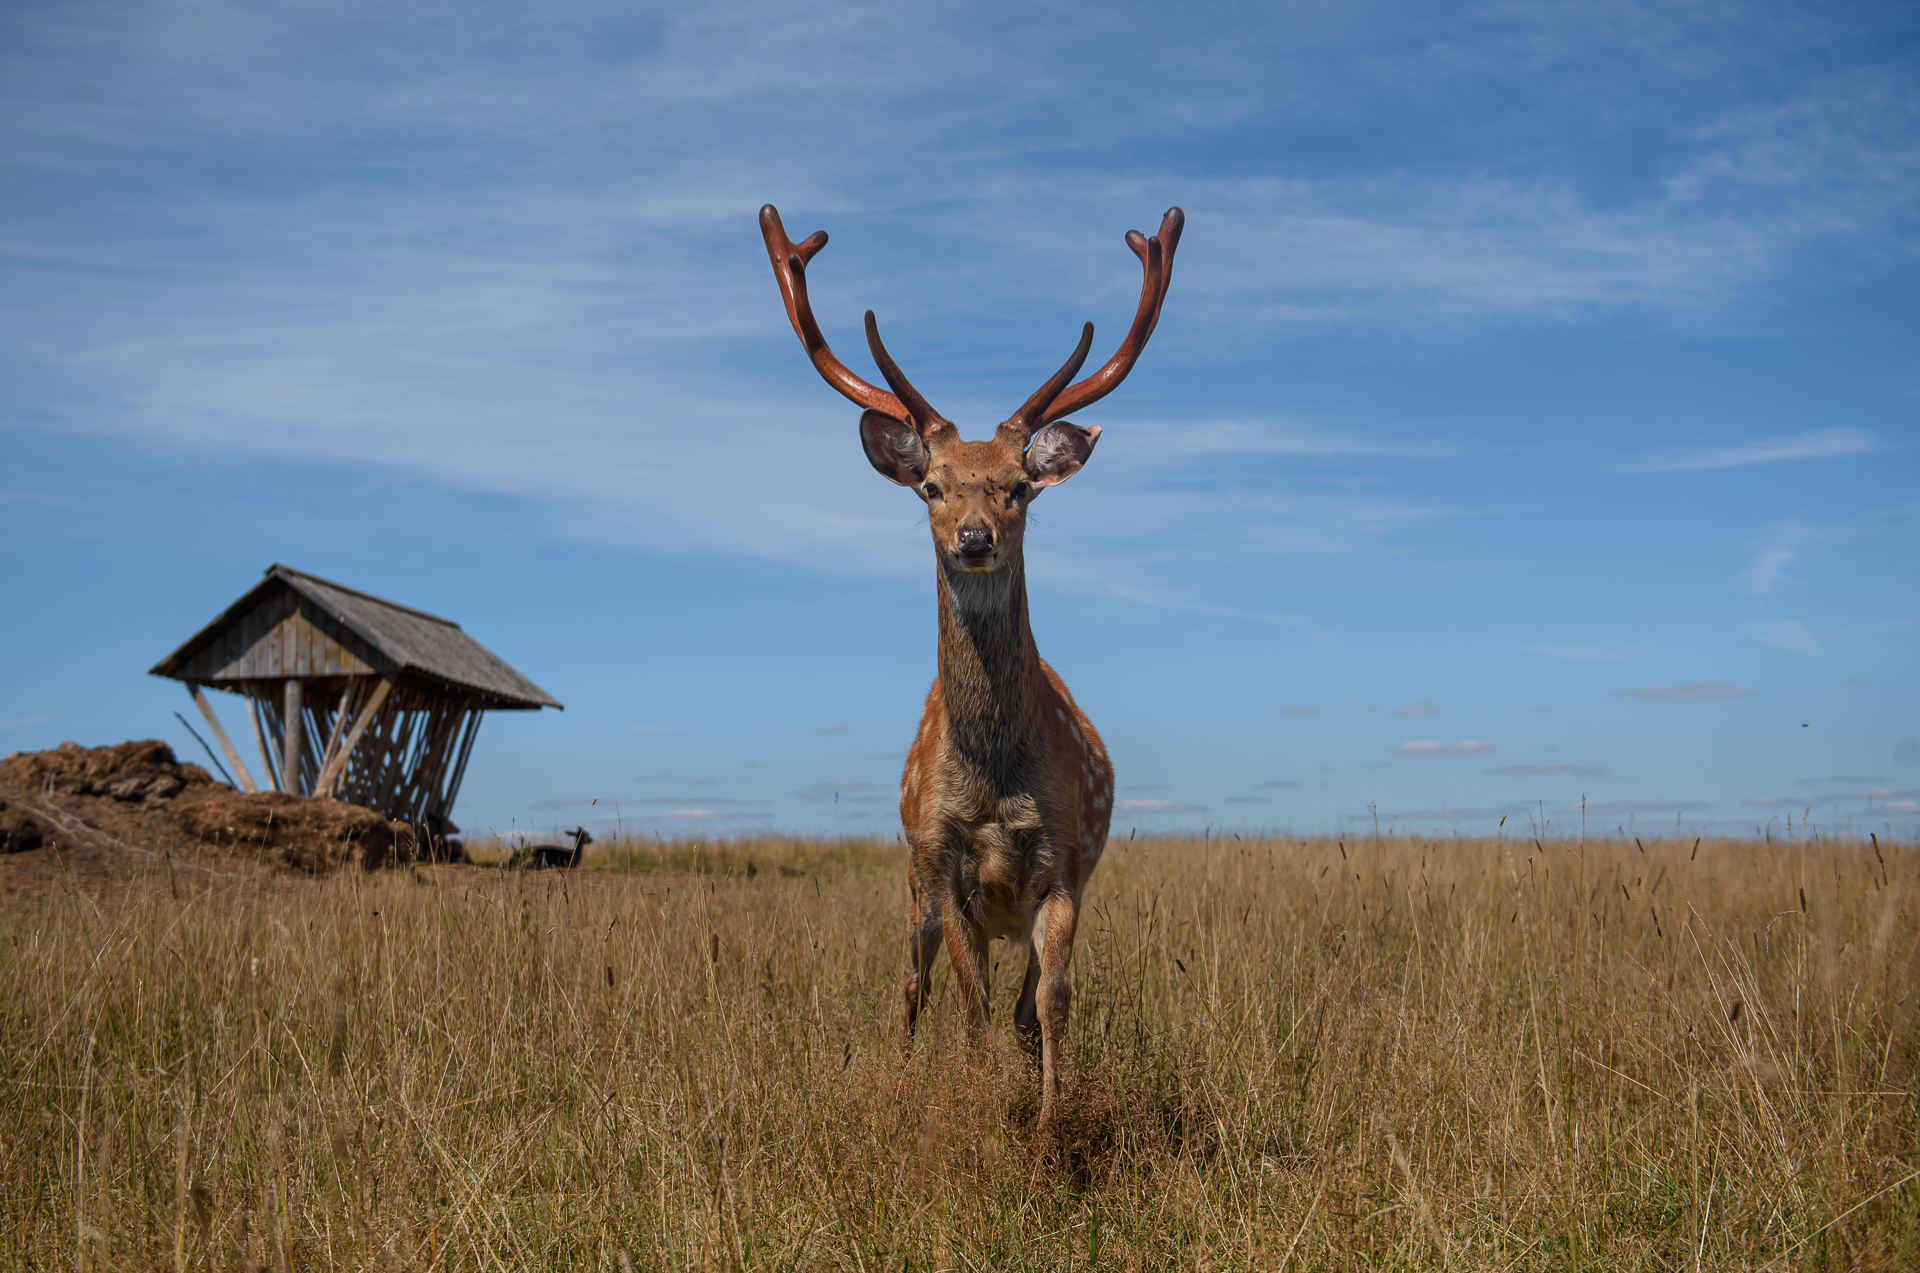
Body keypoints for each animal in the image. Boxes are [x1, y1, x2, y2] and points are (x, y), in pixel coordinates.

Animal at [756, 201, 1175, 1144]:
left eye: (1019, 485)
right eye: (933, 487)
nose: (975, 536)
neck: (994, 779)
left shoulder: (1066, 863)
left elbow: (1047, 1006)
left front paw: (1049, 1129)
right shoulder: (945, 866)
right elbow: (969, 1009)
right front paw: (986, 1117)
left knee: (1019, 1004)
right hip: (911, 881)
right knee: (911, 989)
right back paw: (912, 1072)